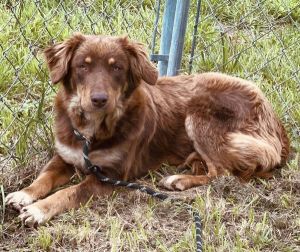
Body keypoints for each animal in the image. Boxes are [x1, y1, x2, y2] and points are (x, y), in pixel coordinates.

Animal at [5, 33, 290, 226]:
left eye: (117, 67)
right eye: (82, 66)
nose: (99, 99)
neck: (92, 131)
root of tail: (276, 123)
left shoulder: (110, 176)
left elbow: (68, 192)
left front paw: (39, 210)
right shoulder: (64, 156)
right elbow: (43, 178)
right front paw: (23, 194)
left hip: (199, 116)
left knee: (221, 173)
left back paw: (179, 181)